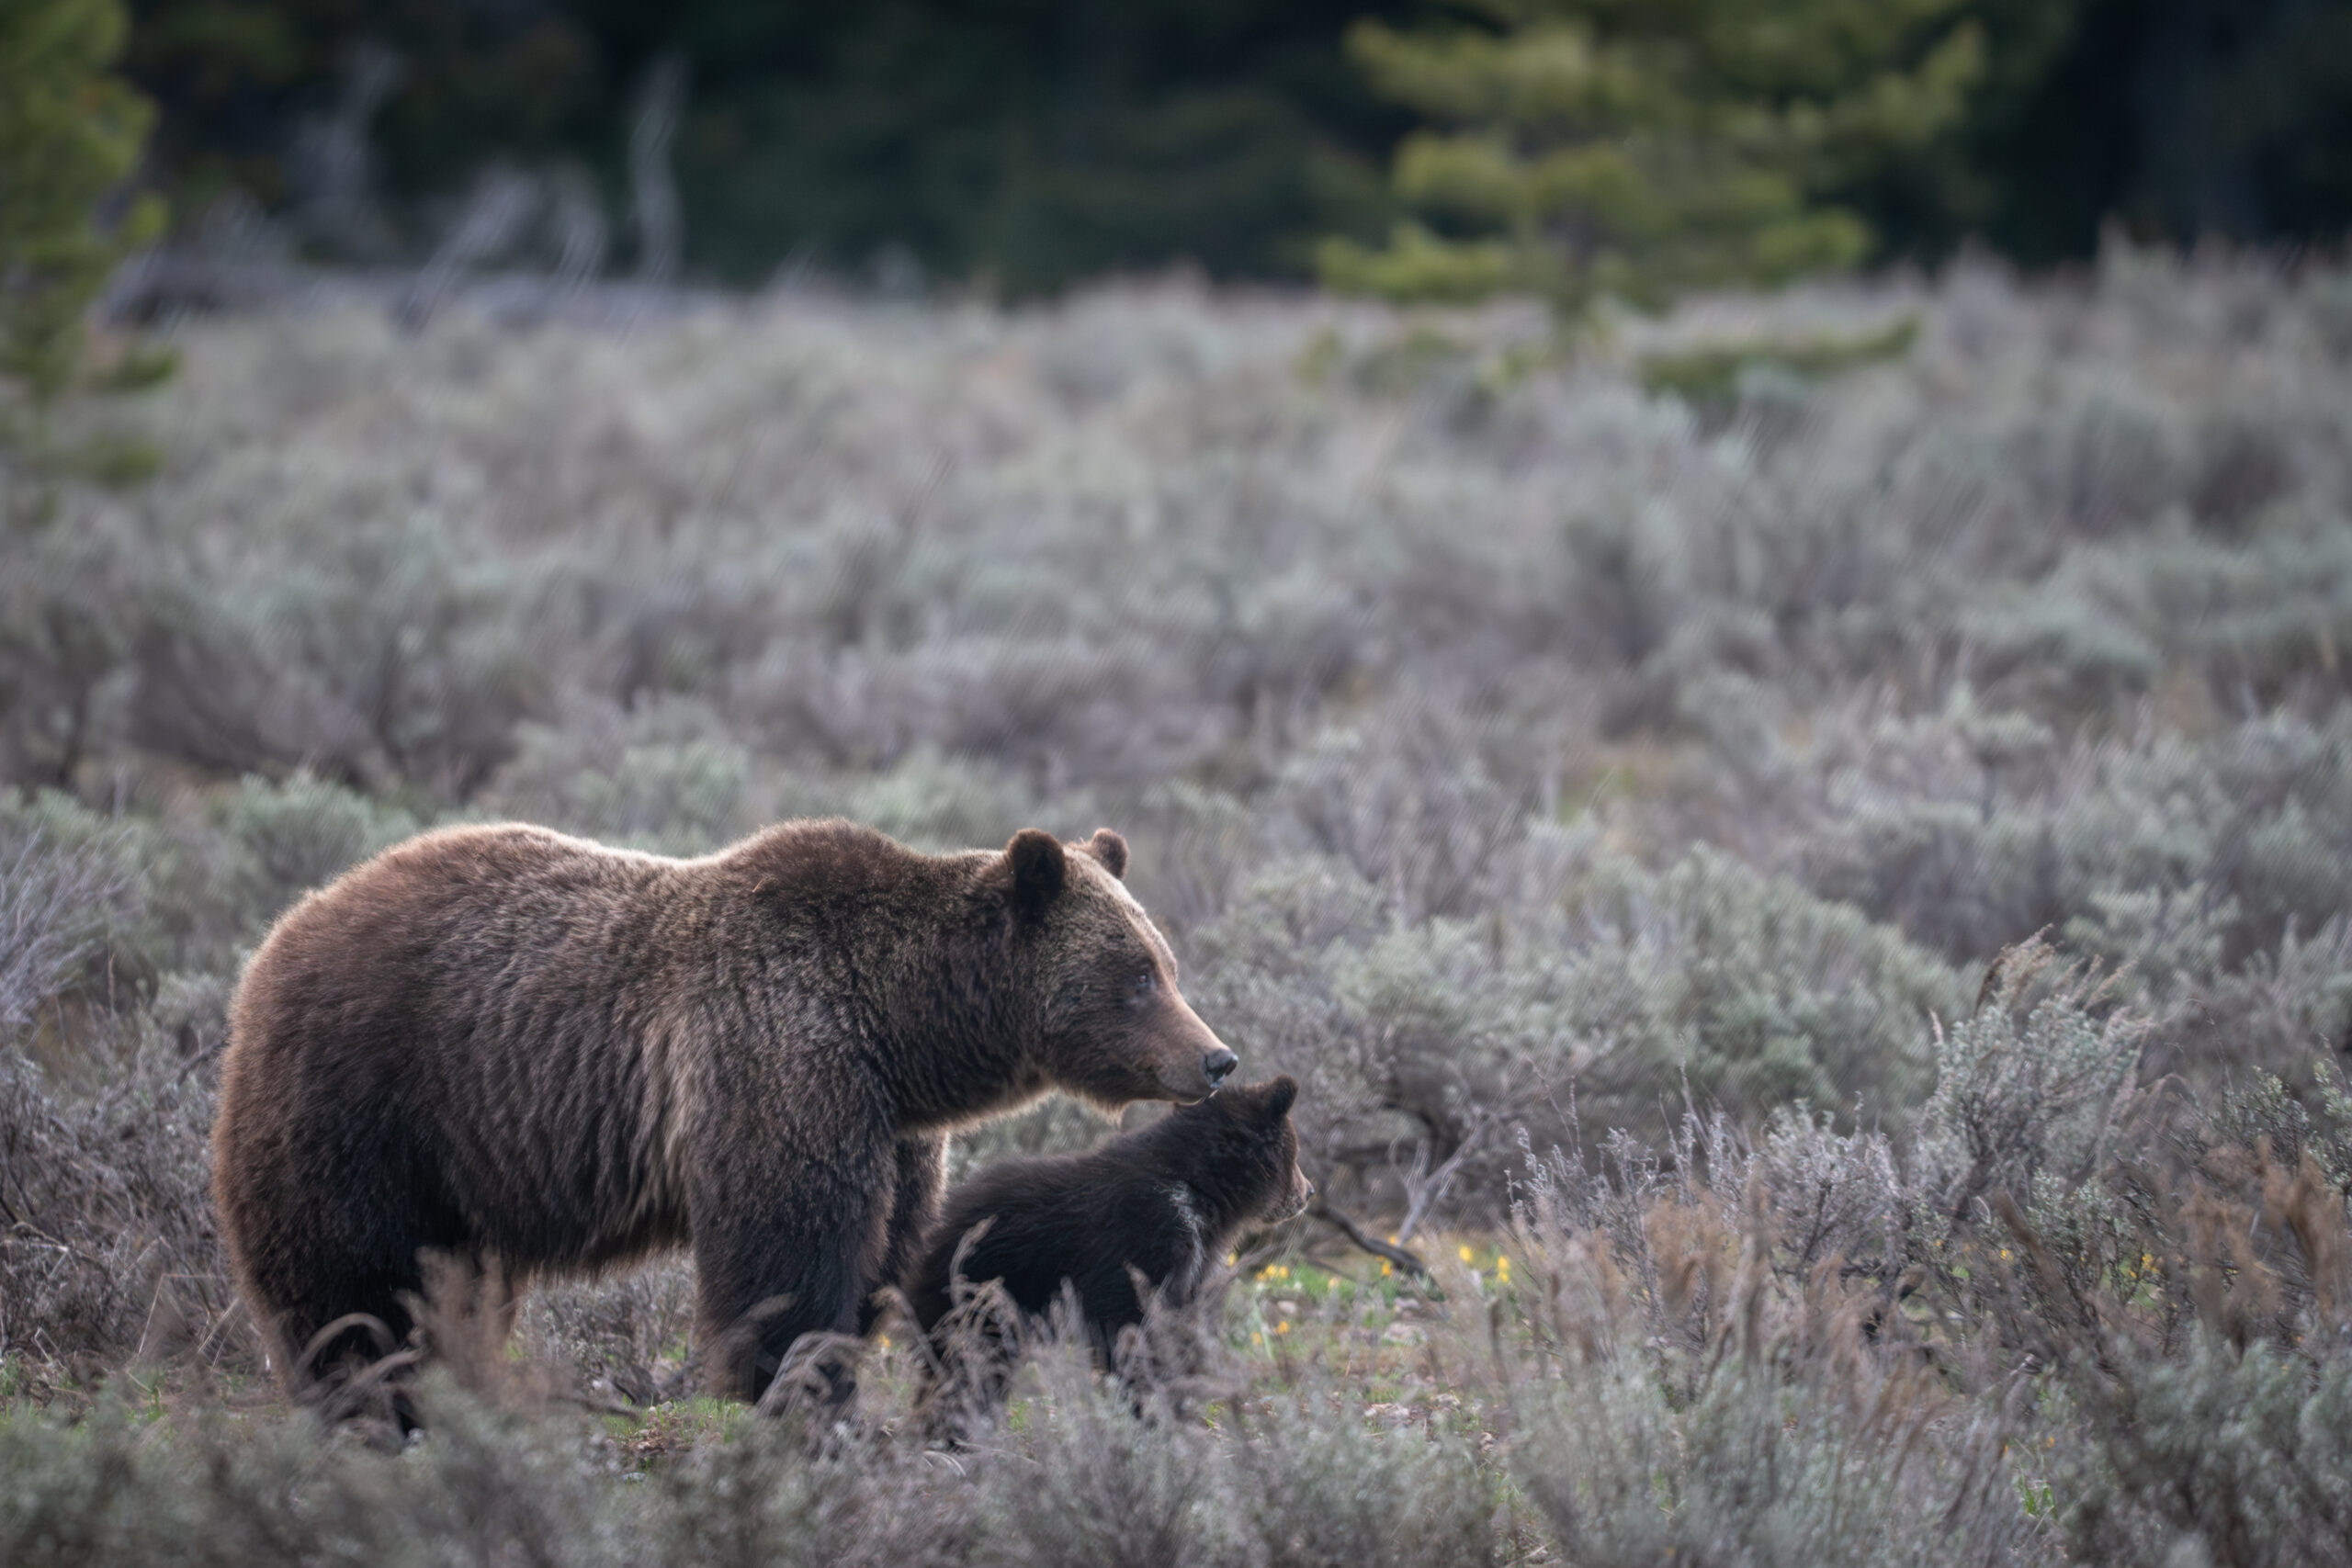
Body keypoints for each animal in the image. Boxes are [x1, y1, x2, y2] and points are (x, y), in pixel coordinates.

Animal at [209, 818, 1237, 1407]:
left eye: (1165, 962)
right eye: (1136, 976)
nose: (1216, 1058)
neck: (901, 1031)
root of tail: (279, 933)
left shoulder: (890, 1128)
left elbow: (879, 1255)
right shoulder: (779, 1059)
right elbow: (785, 1250)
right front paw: (789, 1387)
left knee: (448, 1284)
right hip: (368, 1101)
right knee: (350, 1280)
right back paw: (366, 1396)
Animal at [902, 1074, 1310, 1405]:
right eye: (1295, 1152)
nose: (1308, 1192)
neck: (1199, 1192)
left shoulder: (1192, 1261)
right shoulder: (1144, 1235)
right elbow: (1133, 1325)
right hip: (982, 1288)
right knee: (968, 1360)